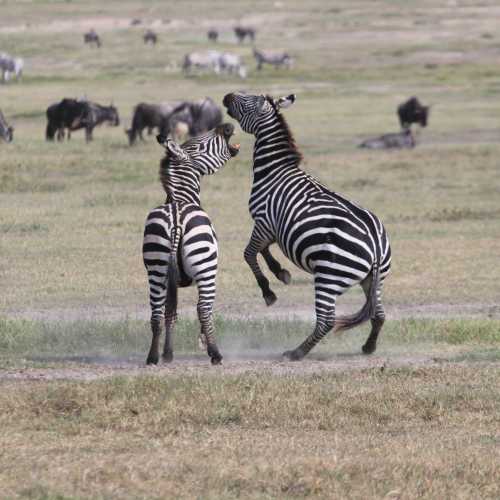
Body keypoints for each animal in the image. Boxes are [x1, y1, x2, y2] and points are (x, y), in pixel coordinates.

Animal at [143, 123, 240, 366]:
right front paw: (203, 343)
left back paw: (152, 357)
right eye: (199, 145)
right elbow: (203, 312)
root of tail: (176, 220)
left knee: (156, 313)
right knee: (203, 309)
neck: (181, 199)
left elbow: (170, 312)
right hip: (205, 266)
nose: (227, 126)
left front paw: (168, 353)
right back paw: (216, 354)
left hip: (156, 265)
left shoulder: (171, 279)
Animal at [223, 93, 390, 360]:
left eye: (247, 100)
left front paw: (269, 292)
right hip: (374, 279)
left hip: (329, 276)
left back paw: (297, 352)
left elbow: (249, 253)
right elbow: (263, 250)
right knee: (379, 314)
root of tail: (375, 245)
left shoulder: (263, 221)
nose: (226, 96)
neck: (274, 170)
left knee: (327, 320)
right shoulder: (274, 228)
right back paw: (368, 347)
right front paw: (280, 272)